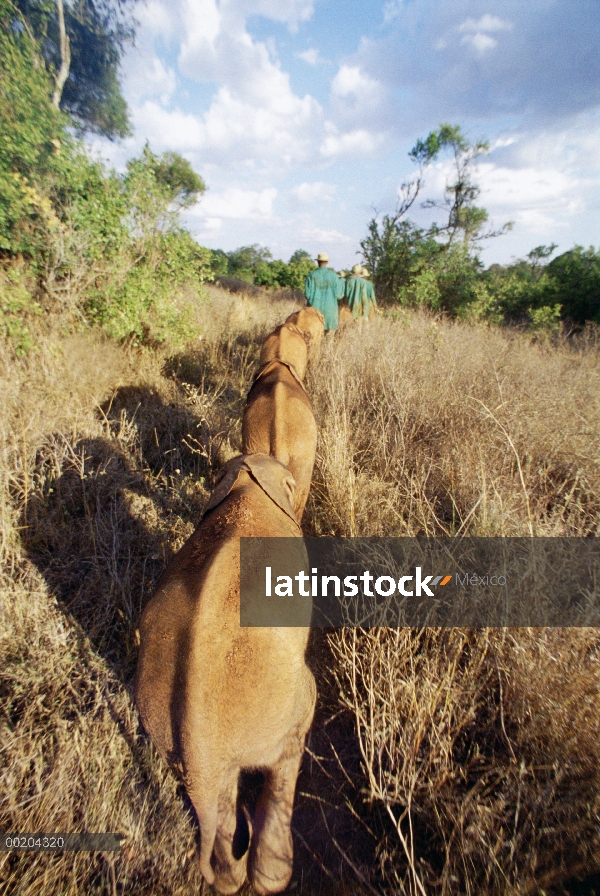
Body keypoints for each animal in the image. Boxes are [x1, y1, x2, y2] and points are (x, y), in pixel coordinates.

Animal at [135, 456, 314, 896]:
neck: (249, 481)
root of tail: (197, 742)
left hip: (167, 734)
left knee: (219, 795)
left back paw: (230, 874)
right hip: (278, 707)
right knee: (292, 740)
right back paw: (272, 877)